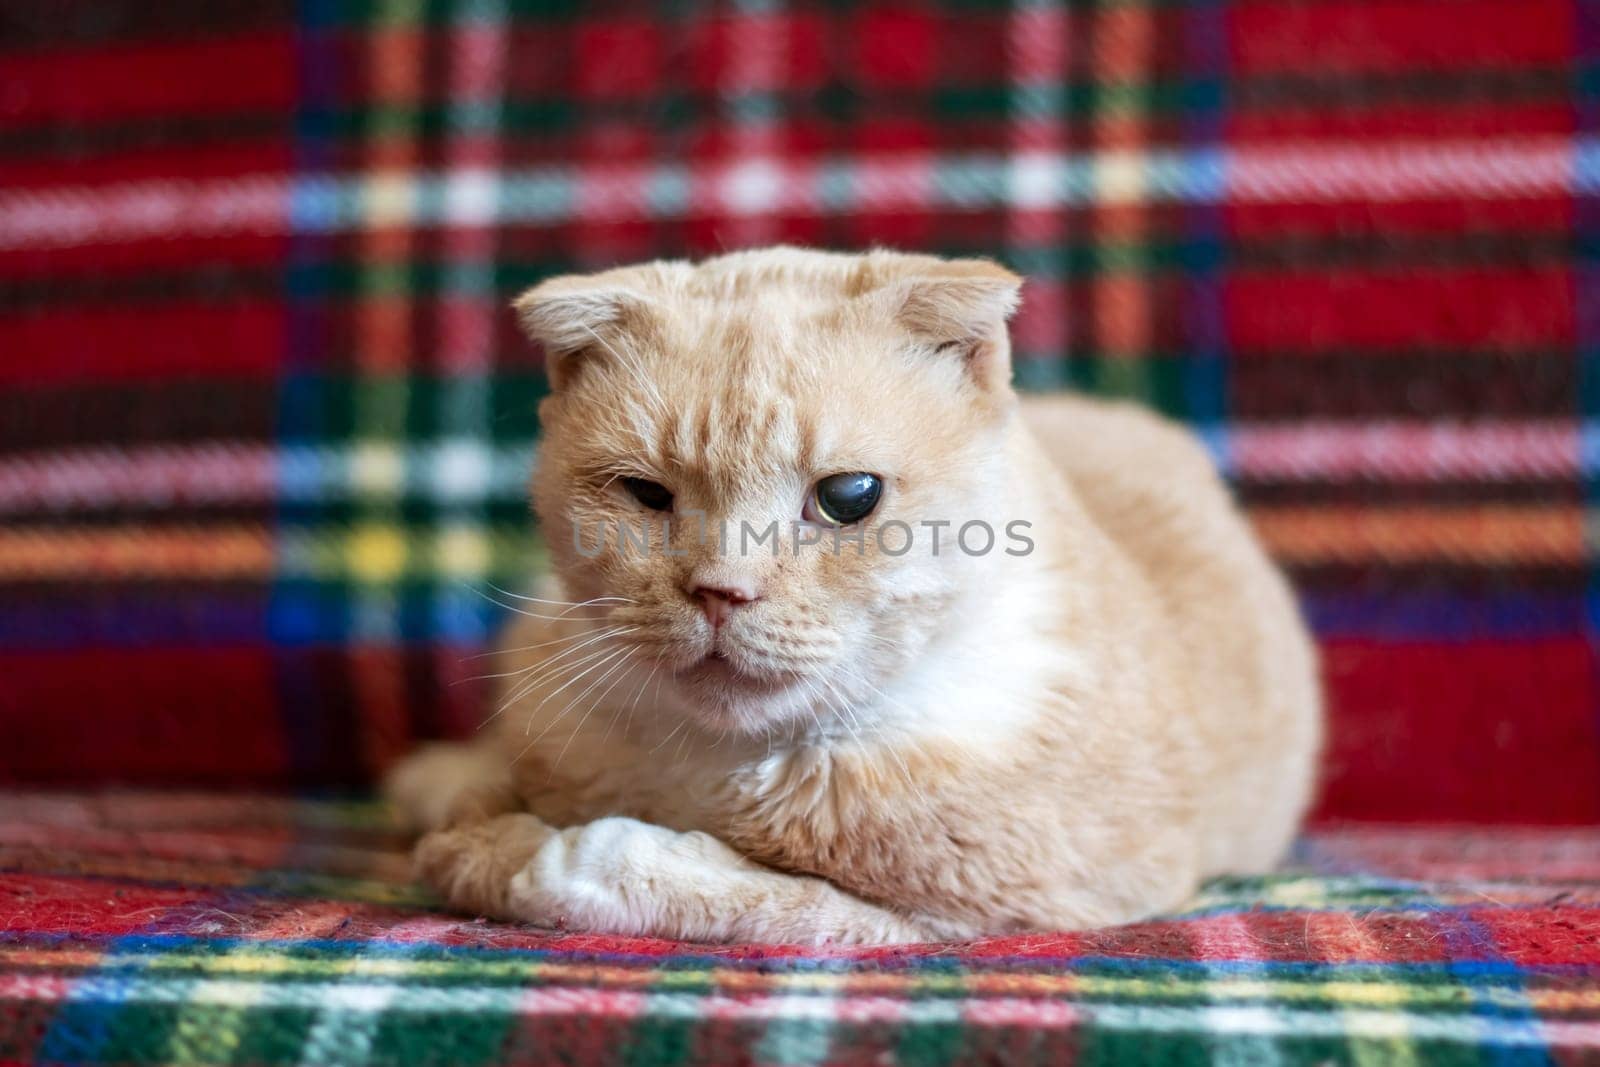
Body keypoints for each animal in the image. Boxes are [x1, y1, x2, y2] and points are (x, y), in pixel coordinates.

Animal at [387, 247, 1324, 940]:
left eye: (848, 497)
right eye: (646, 495)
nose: (720, 591)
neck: (722, 763)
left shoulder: (970, 915)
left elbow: (688, 882)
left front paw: (522, 849)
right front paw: (471, 808)